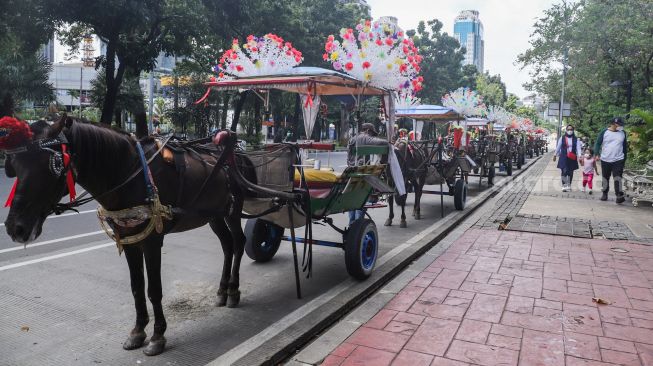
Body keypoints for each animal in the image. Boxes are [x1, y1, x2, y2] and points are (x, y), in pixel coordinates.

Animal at [4, 116, 255, 356]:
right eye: (14, 166)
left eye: (52, 166)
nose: (15, 228)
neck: (130, 173)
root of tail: (239, 153)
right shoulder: (129, 240)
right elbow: (136, 287)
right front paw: (138, 331)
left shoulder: (152, 240)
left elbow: (154, 290)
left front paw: (157, 336)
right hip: (214, 215)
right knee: (227, 245)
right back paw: (222, 290)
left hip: (233, 211)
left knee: (239, 243)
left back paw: (233, 290)